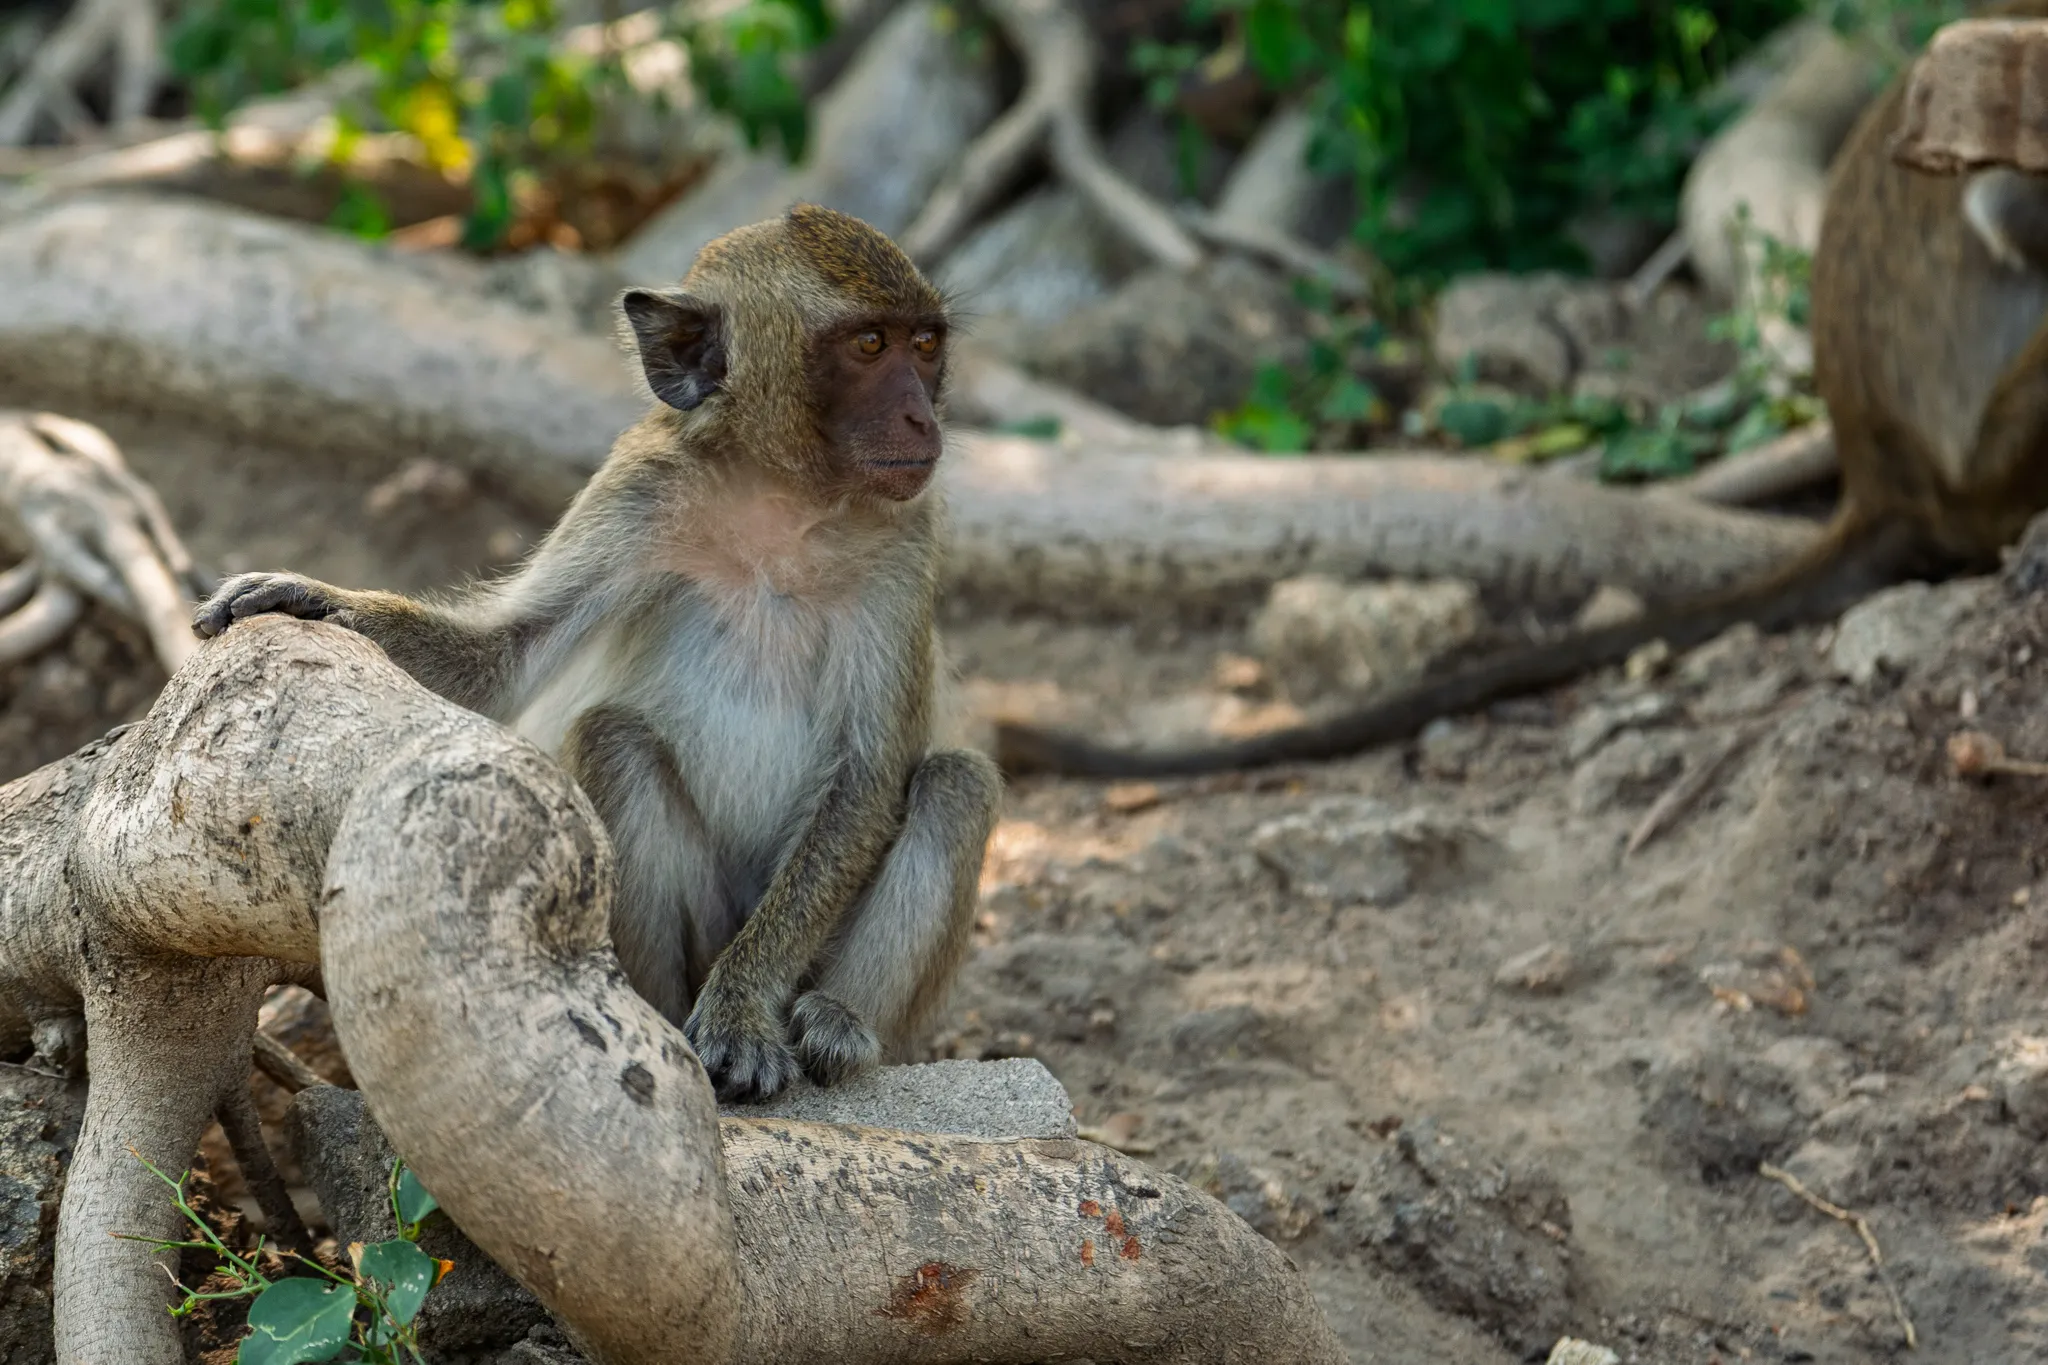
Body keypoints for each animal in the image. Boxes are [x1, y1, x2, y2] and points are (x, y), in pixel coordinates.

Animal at [191, 205, 1003, 1103]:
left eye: (923, 344)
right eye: (868, 345)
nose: (923, 420)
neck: (783, 498)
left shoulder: (905, 539)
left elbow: (866, 775)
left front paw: (743, 1006)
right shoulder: (638, 489)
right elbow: (507, 656)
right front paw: (313, 598)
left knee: (955, 784)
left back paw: (838, 1020)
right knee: (614, 738)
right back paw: (656, 1009)